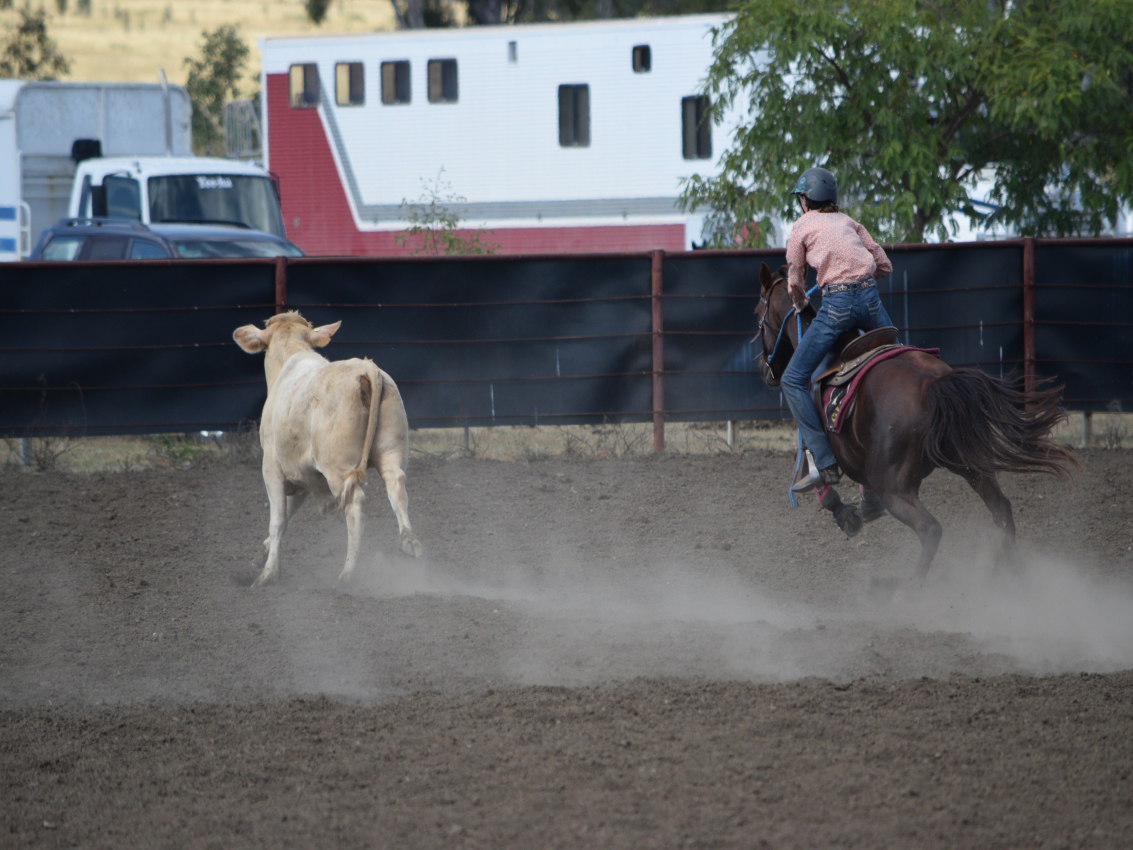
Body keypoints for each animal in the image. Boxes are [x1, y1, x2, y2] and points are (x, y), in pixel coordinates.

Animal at [233, 311, 422, 587]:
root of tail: (367, 367)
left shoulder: (272, 466)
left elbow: (278, 520)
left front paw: (267, 574)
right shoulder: (302, 475)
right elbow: (287, 515)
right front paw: (261, 556)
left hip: (337, 468)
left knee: (355, 504)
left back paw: (347, 573)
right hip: (391, 451)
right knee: (396, 485)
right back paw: (409, 541)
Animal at [754, 262, 1076, 584]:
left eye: (758, 315)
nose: (765, 370)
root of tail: (931, 383)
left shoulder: (812, 436)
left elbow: (817, 474)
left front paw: (845, 515)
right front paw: (867, 507)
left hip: (896, 487)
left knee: (931, 529)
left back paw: (906, 589)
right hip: (967, 463)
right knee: (1002, 509)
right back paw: (1013, 576)